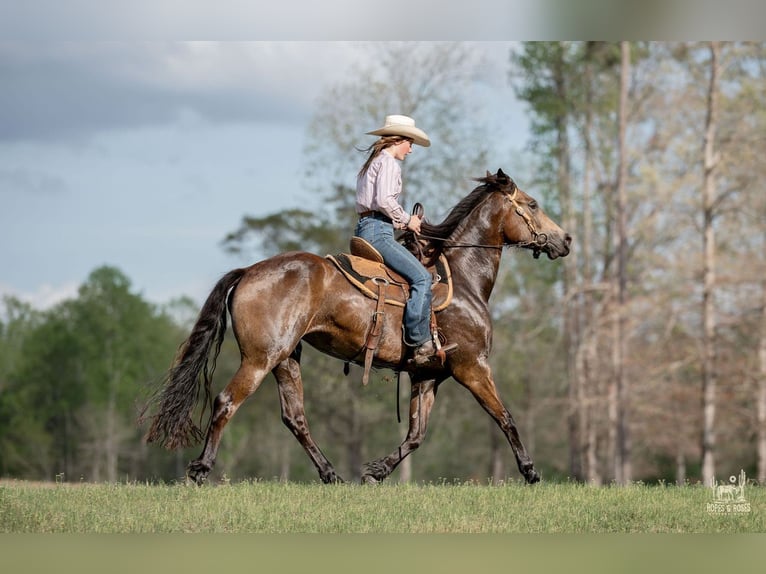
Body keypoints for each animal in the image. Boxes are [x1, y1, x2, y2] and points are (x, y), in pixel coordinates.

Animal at [142, 168, 571, 485]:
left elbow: (416, 434)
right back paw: (200, 469)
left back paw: (331, 474)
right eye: (532, 204)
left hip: (285, 359)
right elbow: (505, 417)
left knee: (295, 417)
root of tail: (249, 270)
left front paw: (377, 471)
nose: (564, 240)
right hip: (260, 359)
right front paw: (531, 471)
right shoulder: (473, 367)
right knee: (226, 401)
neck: (463, 280)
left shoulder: (428, 375)